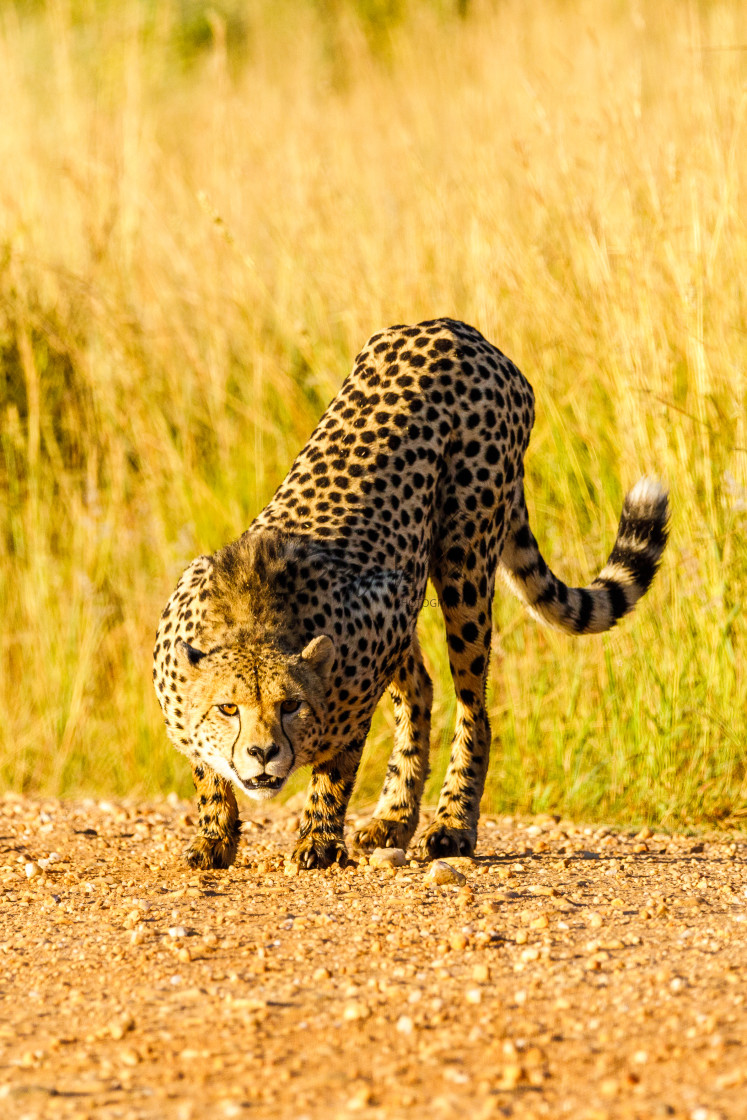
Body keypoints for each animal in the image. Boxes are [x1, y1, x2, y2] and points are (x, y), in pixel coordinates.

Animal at [153, 320, 671, 869]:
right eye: (228, 709)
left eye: (290, 705)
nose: (263, 753)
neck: (254, 618)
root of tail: (455, 329)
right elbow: (208, 774)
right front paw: (214, 835)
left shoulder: (368, 655)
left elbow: (337, 765)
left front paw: (318, 837)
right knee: (420, 688)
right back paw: (394, 819)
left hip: (465, 560)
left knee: (473, 709)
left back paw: (451, 825)